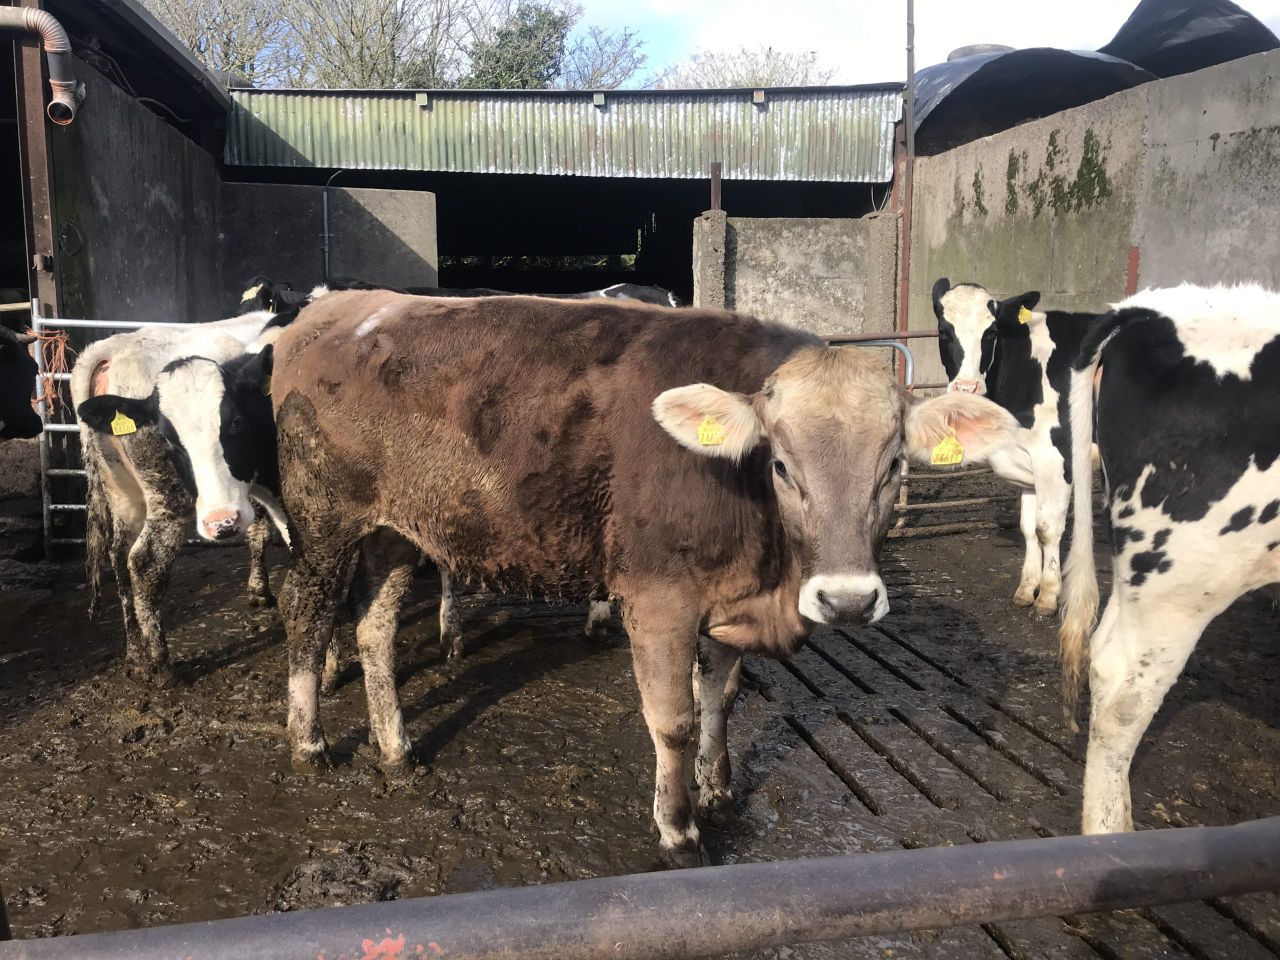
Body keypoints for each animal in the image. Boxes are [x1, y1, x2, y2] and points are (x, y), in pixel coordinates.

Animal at [71, 310, 289, 685]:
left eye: (236, 421)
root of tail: (109, 350)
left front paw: (259, 590)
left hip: (122, 492)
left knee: (119, 556)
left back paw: (136, 657)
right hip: (168, 498)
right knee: (144, 563)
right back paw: (162, 665)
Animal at [269, 290, 1021, 865]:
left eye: (894, 464)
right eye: (781, 463)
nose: (847, 599)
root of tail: (335, 307)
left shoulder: (726, 598)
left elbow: (720, 699)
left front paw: (718, 791)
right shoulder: (660, 600)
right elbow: (674, 720)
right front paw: (679, 829)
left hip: (396, 530)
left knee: (374, 628)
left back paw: (396, 750)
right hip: (323, 521)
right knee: (304, 609)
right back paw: (308, 741)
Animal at [932, 277, 1096, 614]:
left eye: (991, 332)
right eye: (944, 330)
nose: (966, 387)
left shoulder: (1056, 459)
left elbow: (1048, 528)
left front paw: (1048, 595)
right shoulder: (1028, 461)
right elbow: (1028, 528)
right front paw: (1026, 590)